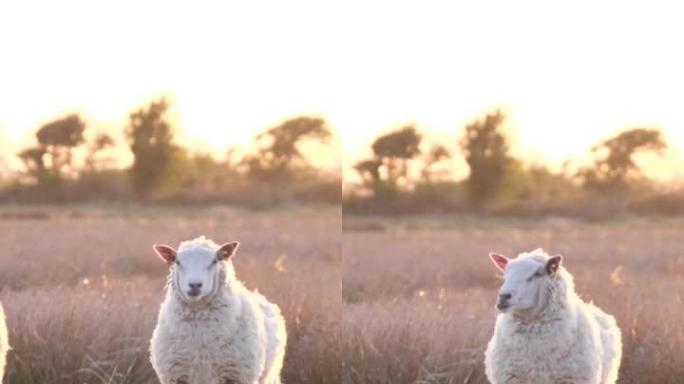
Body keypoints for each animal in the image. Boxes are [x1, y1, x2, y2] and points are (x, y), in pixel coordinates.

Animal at [150, 237, 286, 384]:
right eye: (178, 262)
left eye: (214, 261)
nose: (195, 285)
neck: (201, 337)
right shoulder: (175, 376)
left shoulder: (238, 376)